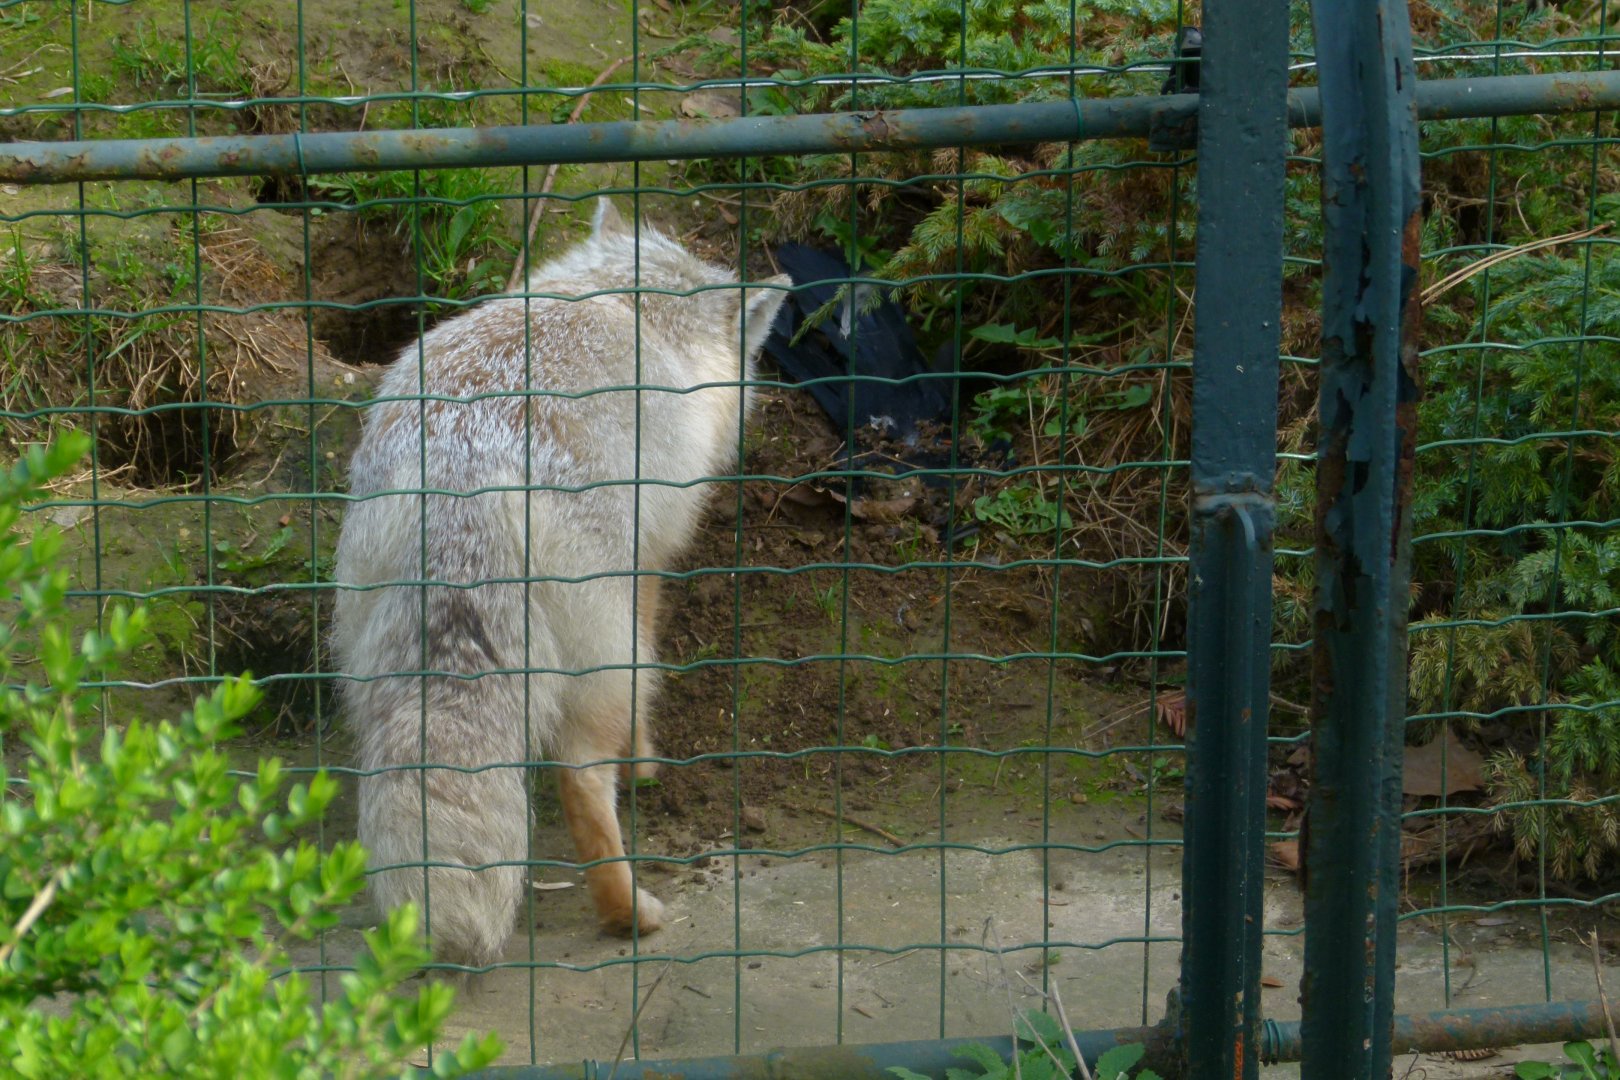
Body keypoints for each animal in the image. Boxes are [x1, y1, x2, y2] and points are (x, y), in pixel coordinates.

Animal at [331, 198, 791, 968]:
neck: (614, 298)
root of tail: (465, 463)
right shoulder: (650, 556)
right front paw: (646, 764)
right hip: (603, 654)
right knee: (579, 776)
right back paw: (628, 912)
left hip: (371, 661)